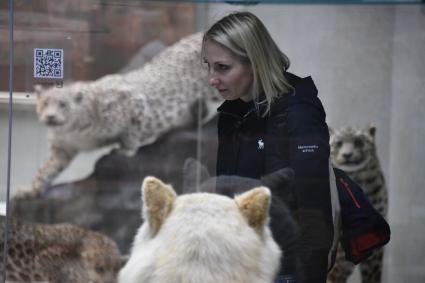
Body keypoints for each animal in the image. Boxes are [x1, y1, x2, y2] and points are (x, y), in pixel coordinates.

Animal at [27, 31, 219, 197]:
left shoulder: (136, 104)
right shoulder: (62, 148)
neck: (73, 131)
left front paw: (125, 149)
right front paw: (29, 190)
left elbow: (132, 132)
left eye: (63, 104)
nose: (50, 117)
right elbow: (46, 169)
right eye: (44, 104)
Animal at [328, 126, 388, 283]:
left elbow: (372, 276)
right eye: (338, 143)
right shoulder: (338, 262)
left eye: (359, 142)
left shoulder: (375, 251)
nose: (347, 154)